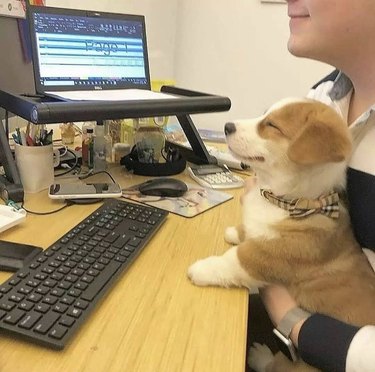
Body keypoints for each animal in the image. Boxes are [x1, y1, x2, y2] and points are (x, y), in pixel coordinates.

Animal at [189, 98, 375, 372]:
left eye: (272, 125)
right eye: (264, 115)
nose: (227, 126)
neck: (290, 201)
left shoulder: (265, 256)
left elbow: (233, 260)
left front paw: (200, 269)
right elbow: (248, 230)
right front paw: (235, 232)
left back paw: (261, 355)